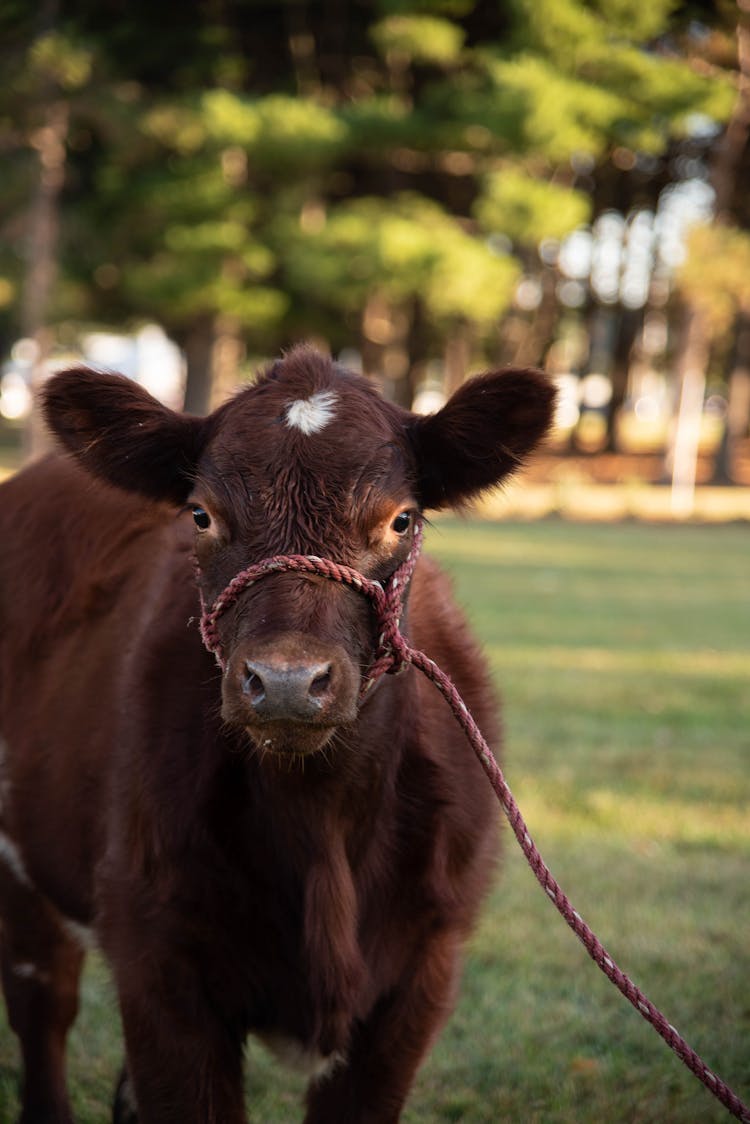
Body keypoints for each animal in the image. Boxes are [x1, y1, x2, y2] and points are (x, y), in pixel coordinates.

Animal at [0, 346, 550, 1119]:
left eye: (402, 520)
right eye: (201, 514)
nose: (287, 681)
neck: (319, 823)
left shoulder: (422, 972)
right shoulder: (155, 959)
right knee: (43, 1006)